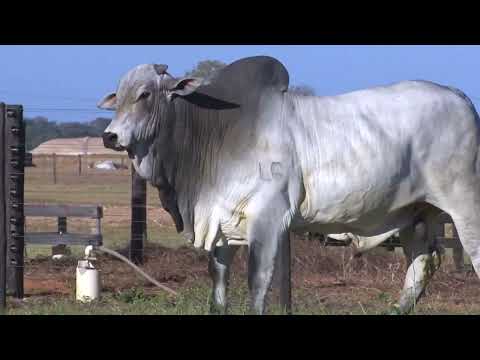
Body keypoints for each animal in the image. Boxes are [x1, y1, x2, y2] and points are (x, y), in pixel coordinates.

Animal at [97, 54, 480, 314]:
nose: (110, 136)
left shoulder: (267, 220)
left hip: (464, 205)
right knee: (422, 265)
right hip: (415, 213)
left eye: (145, 94)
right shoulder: (222, 225)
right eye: (118, 95)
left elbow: (258, 284)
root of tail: (458, 95)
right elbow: (218, 287)